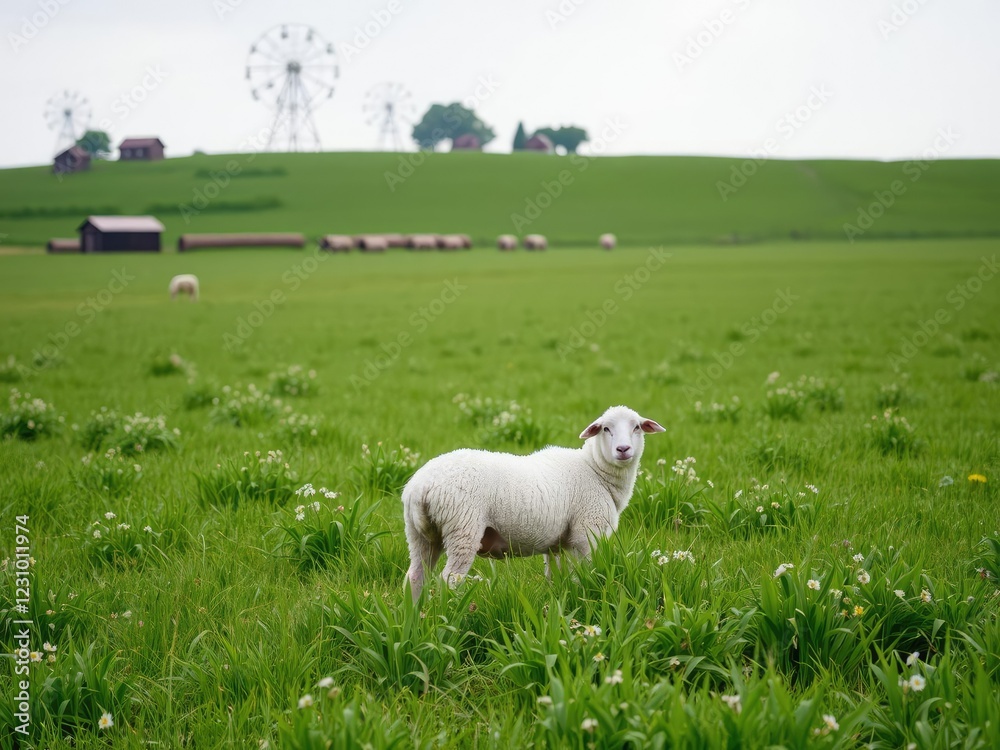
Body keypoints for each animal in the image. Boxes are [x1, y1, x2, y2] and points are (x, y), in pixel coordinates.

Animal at [401, 405, 665, 601]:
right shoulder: (586, 534)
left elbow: (555, 577)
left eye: (637, 427)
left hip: (418, 533)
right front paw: (584, 597)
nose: (623, 449)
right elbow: (583, 575)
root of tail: (422, 487)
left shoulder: (557, 544)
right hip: (463, 528)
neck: (594, 470)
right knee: (448, 580)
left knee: (414, 577)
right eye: (606, 429)